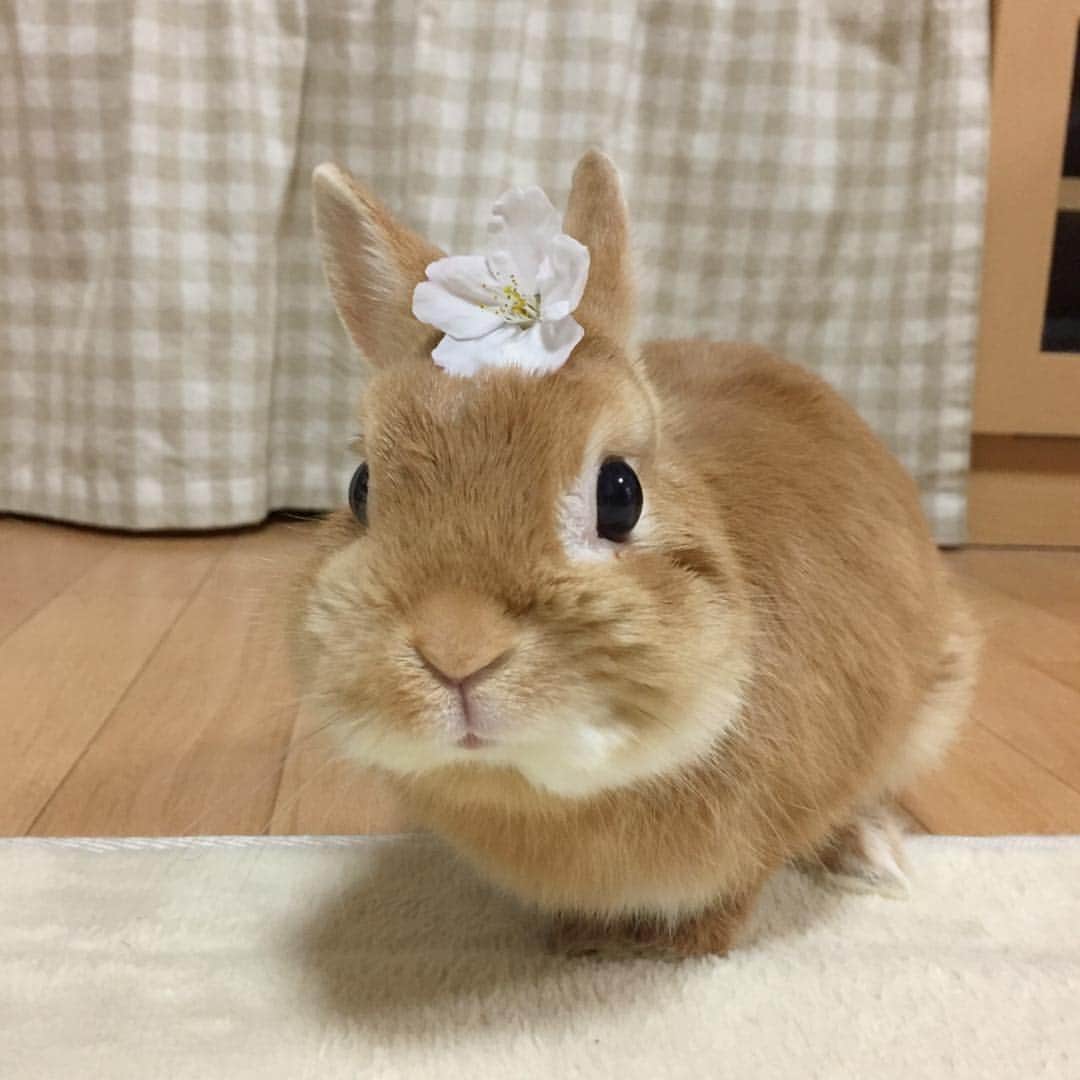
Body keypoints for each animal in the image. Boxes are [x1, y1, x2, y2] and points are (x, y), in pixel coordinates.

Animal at [293, 150, 979, 958]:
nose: (457, 650)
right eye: (361, 487)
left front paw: (689, 946)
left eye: (620, 493)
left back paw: (870, 856)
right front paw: (576, 942)